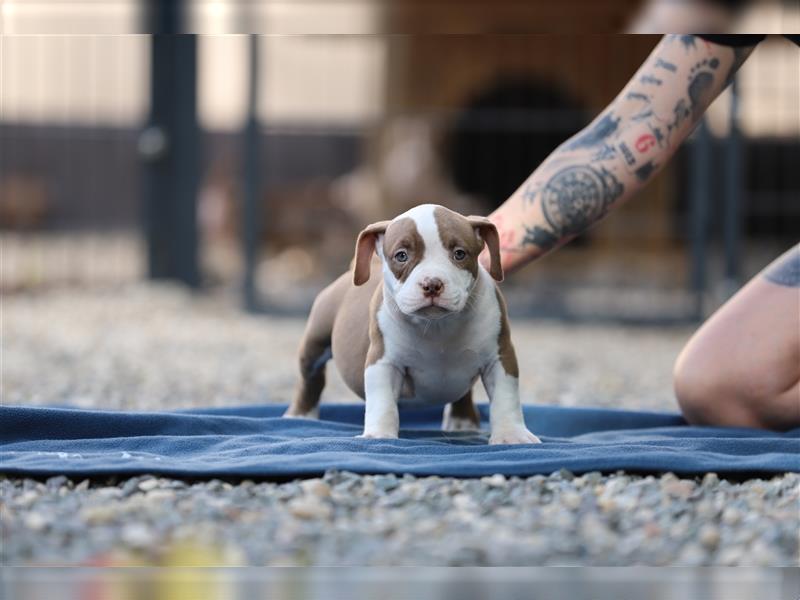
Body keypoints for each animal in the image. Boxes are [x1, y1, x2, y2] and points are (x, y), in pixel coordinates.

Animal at [284, 204, 540, 442]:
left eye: (459, 254)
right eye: (401, 256)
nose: (432, 284)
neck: (438, 325)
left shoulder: (500, 357)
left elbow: (506, 400)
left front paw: (512, 435)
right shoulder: (383, 361)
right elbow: (383, 403)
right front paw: (378, 435)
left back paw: (462, 422)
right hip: (315, 341)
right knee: (311, 379)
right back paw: (300, 415)